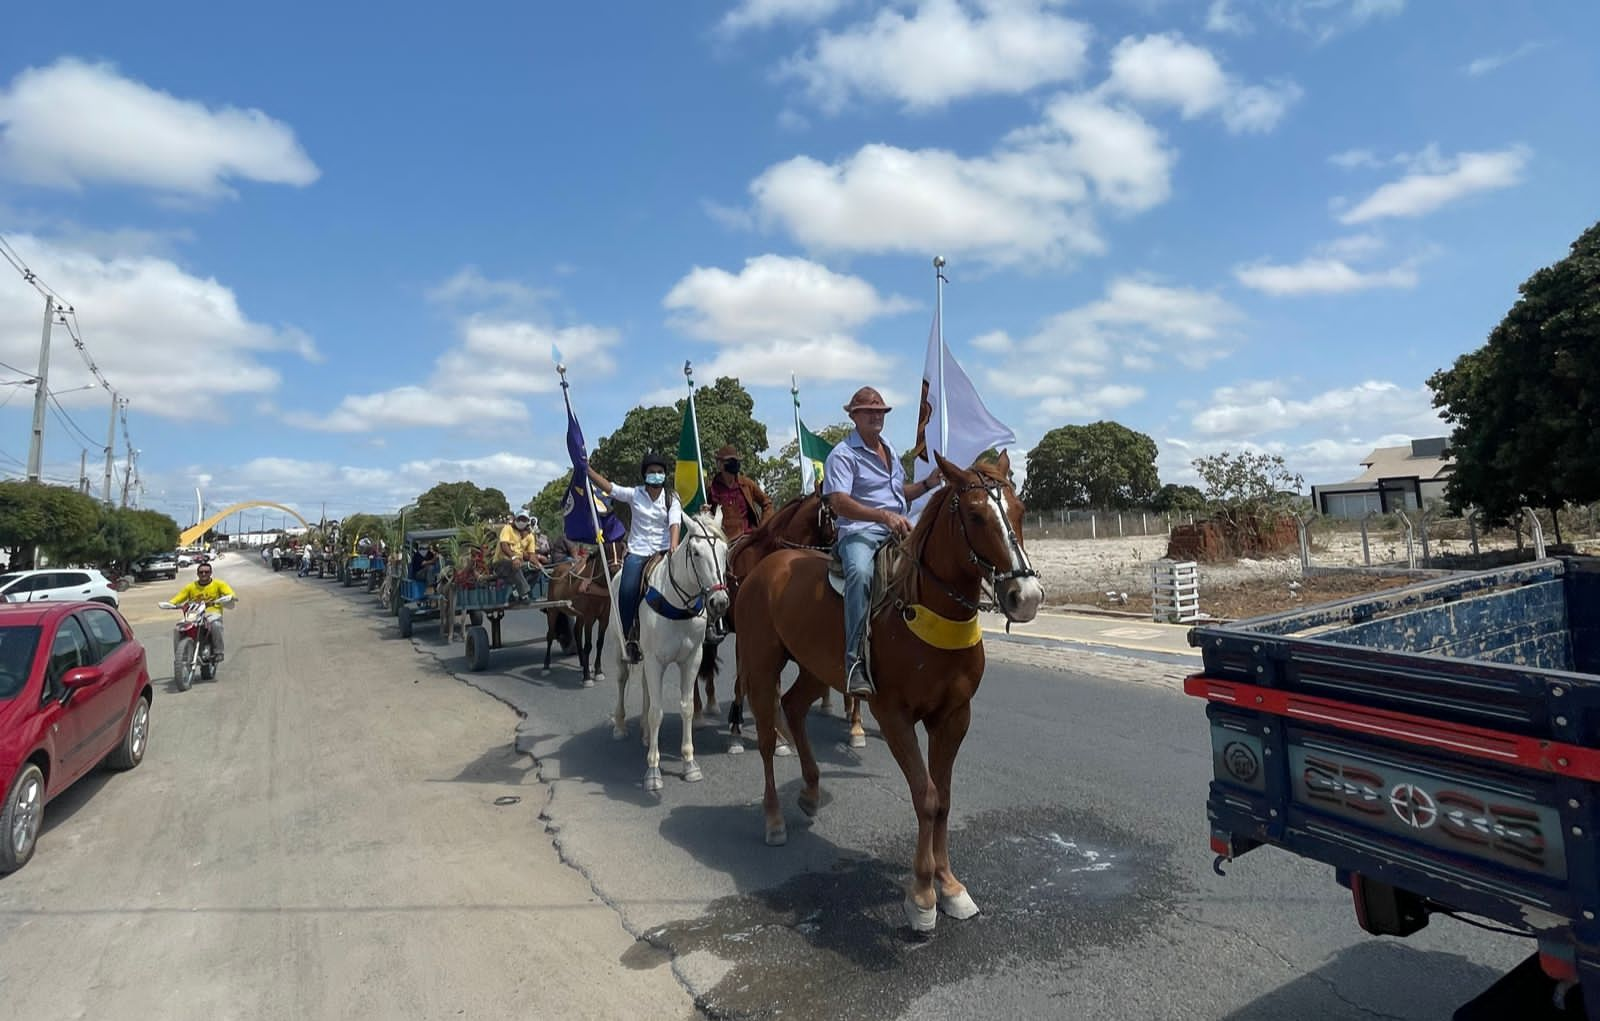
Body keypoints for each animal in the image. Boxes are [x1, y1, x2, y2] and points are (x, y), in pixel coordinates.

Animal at [608, 515, 732, 796]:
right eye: (696, 552)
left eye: (725, 551)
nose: (719, 602)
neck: (677, 603)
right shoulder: (656, 661)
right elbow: (657, 712)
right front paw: (653, 772)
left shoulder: (692, 659)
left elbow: (687, 708)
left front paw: (689, 764)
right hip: (620, 649)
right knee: (621, 680)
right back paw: (620, 727)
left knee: (644, 686)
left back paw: (645, 733)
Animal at [732, 454, 1043, 934]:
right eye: (975, 515)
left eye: (1020, 510)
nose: (1024, 596)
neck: (921, 608)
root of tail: (767, 566)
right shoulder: (894, 715)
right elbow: (926, 797)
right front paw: (923, 896)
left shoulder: (954, 716)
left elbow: (944, 798)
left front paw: (950, 886)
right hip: (762, 666)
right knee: (768, 739)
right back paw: (774, 819)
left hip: (817, 669)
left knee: (795, 708)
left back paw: (810, 791)